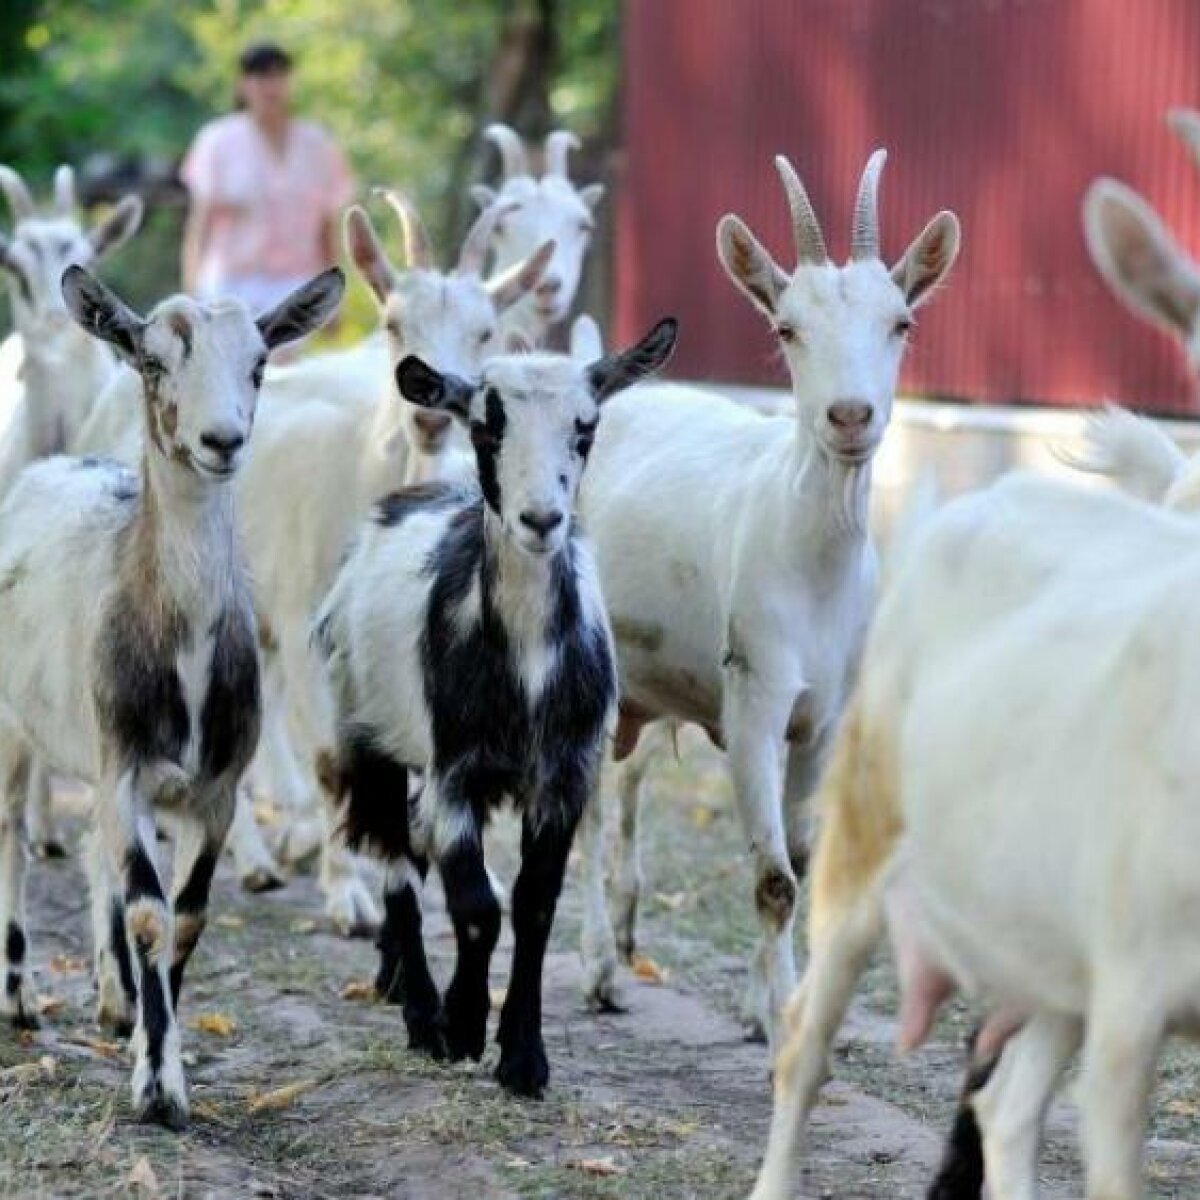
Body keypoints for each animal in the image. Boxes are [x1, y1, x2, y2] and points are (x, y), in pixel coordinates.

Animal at [0, 260, 343, 1123]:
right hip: (15, 725)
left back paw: (114, 997)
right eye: (153, 361)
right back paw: (19, 994)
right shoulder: (124, 764)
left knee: (95, 855)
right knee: (12, 833)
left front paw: (154, 1041)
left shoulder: (212, 788)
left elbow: (184, 918)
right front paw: (156, 1087)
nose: (222, 441)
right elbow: (151, 914)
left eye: (259, 364)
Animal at [314, 319, 676, 1099]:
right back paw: (419, 1011)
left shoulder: (565, 774)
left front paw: (523, 1057)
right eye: (487, 424)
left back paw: (397, 981)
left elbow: (534, 903)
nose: (541, 520)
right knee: (397, 862)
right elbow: (477, 905)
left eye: (585, 427)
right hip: (368, 726)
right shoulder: (457, 770)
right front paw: (462, 1024)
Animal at [576, 150, 960, 1051]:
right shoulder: (754, 700)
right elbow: (774, 880)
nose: (850, 415)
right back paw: (599, 970)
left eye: (902, 323)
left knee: (626, 790)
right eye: (786, 328)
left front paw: (773, 1010)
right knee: (585, 812)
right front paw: (780, 1022)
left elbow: (806, 867)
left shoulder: (823, 719)